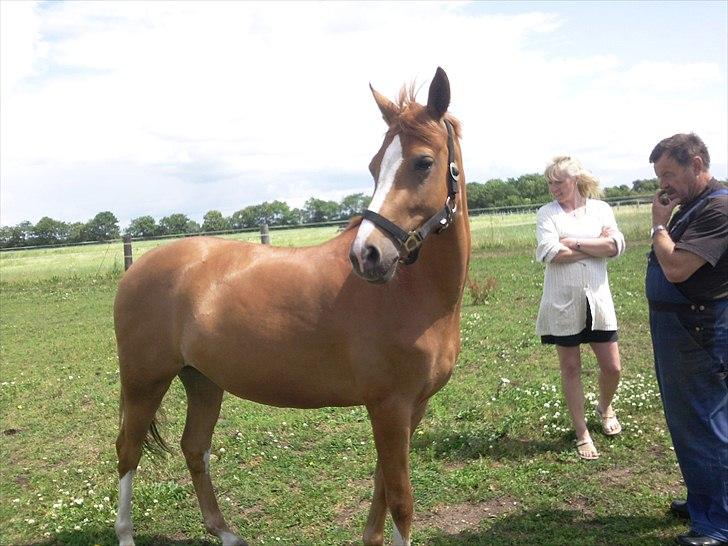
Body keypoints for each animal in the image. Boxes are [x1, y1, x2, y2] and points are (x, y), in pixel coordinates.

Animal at [113, 66, 470, 546]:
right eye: (376, 165)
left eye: (423, 162)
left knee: (194, 447)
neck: (414, 295)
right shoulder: (390, 405)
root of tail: (136, 269)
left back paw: (225, 531)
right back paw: (126, 532)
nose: (367, 255)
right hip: (144, 381)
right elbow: (401, 500)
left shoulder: (412, 408)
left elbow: (382, 484)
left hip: (202, 380)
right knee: (128, 451)